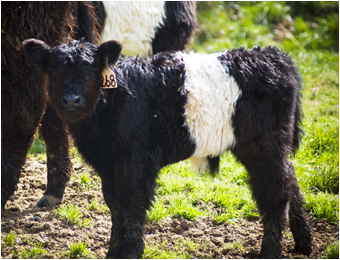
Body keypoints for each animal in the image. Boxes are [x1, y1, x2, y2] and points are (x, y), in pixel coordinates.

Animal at [21, 38, 314, 258]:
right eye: (55, 73)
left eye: (91, 72)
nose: (72, 100)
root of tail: (272, 55)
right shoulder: (109, 164)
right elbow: (115, 206)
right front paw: (113, 253)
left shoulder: (135, 163)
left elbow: (130, 207)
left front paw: (130, 253)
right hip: (273, 148)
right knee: (291, 180)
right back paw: (304, 244)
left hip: (263, 148)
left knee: (276, 194)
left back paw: (271, 252)